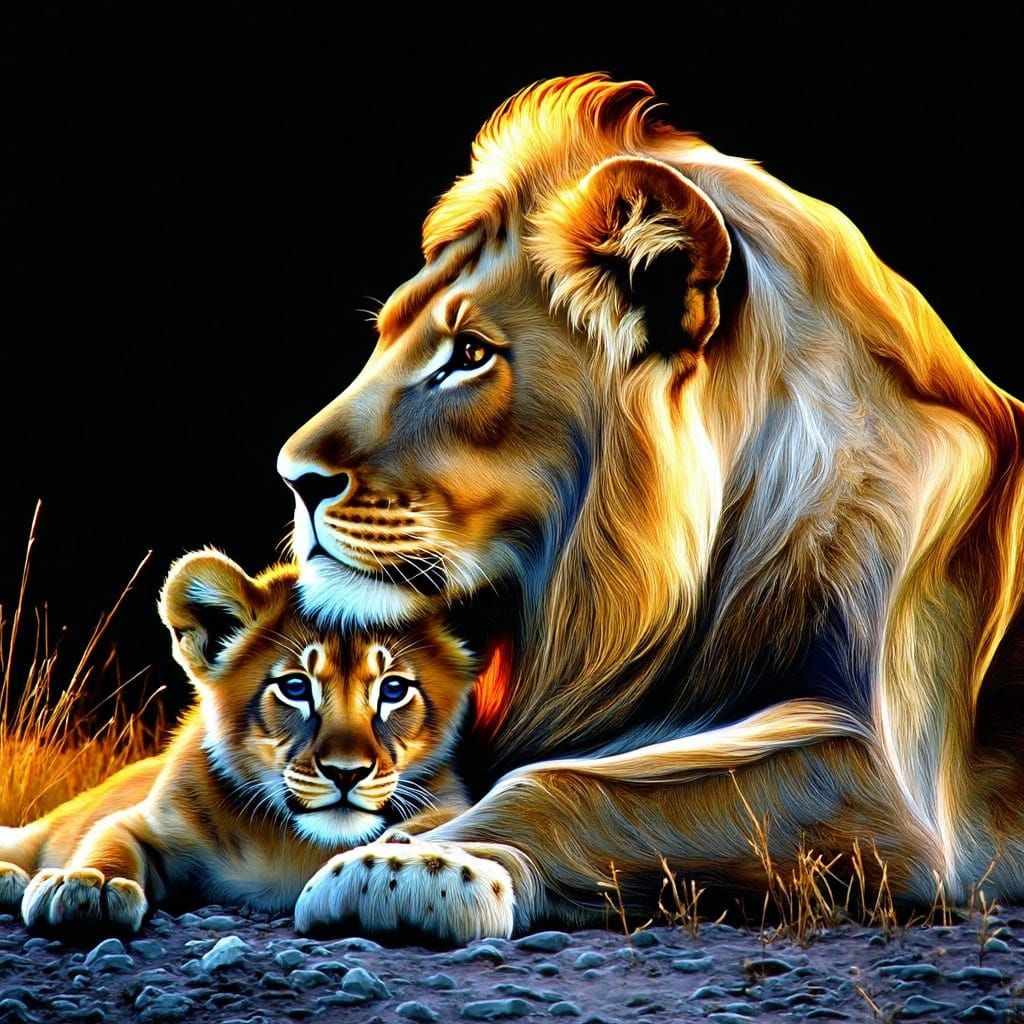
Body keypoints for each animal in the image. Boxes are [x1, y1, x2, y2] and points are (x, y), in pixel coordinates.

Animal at [0, 551, 484, 931]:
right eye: (295, 687)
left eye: (393, 689)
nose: (345, 773)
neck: (298, 845)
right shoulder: (145, 822)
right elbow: (108, 842)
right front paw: (89, 885)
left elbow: (455, 820)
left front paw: (408, 842)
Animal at [275, 74, 1024, 942]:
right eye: (386, 335)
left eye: (469, 354)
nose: (293, 477)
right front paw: (407, 832)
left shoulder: (890, 782)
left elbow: (568, 784)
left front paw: (416, 866)